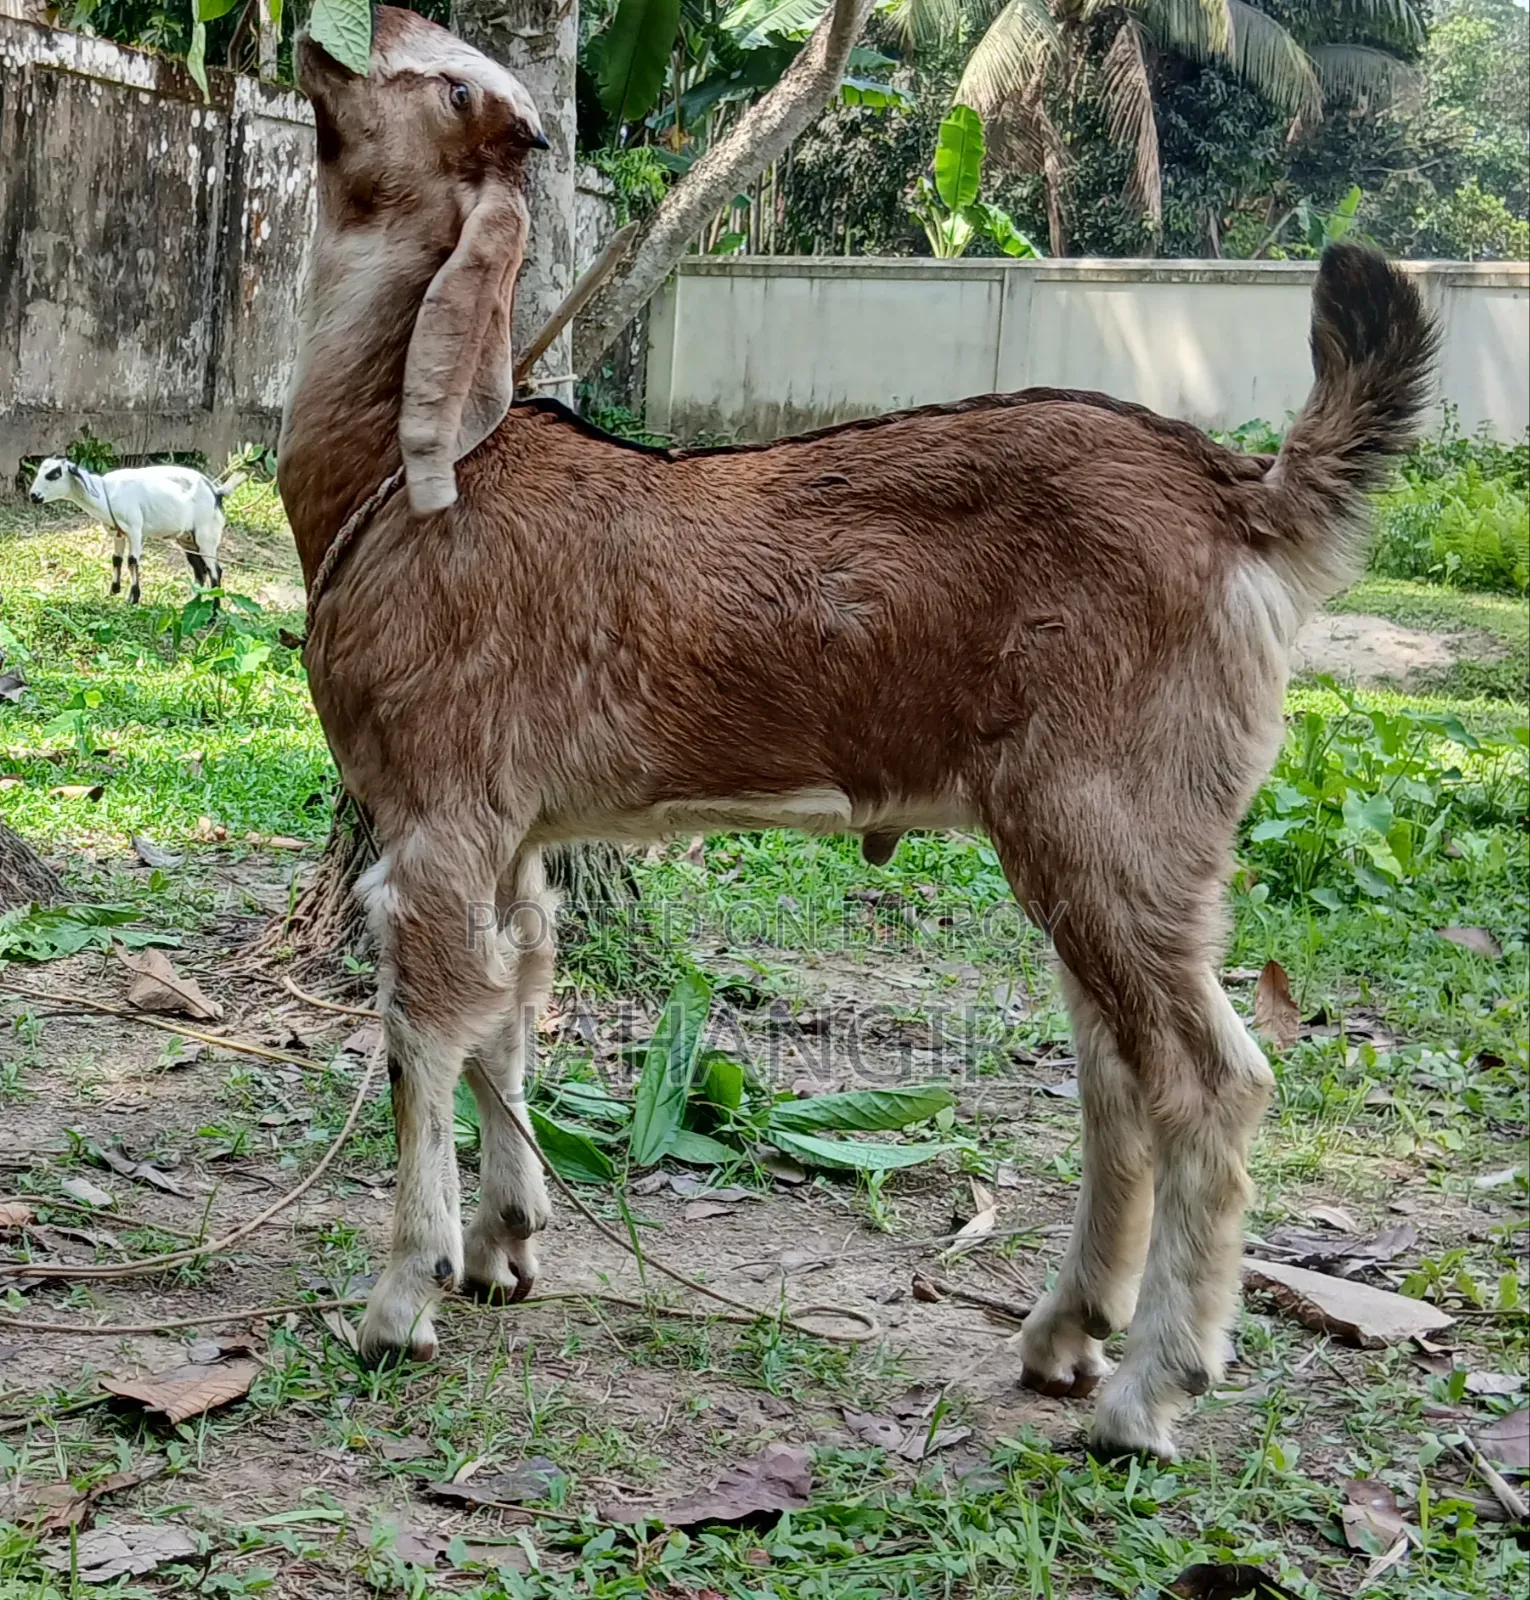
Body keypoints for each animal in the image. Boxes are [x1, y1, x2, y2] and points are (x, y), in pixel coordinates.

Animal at [28, 458, 226, 602]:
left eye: (54, 474)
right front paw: (112, 592)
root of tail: (216, 493)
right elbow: (116, 559)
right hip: (187, 539)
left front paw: (133, 598)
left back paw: (213, 614)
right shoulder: (118, 533)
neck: (106, 494)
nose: (33, 496)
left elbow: (132, 561)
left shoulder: (135, 530)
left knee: (214, 570)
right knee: (200, 570)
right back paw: (193, 604)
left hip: (206, 536)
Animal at [280, 7, 1437, 1460]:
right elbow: (511, 1008)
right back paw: (1064, 1335)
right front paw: (502, 1244)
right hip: (1110, 846)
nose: (347, 30)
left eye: (447, 87)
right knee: (1118, 1075)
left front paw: (398, 1299)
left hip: (1112, 816)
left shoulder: (434, 810)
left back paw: (1145, 1391)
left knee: (1208, 1081)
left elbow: (422, 1032)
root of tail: (1243, 502)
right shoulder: (513, 831)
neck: (398, 478)